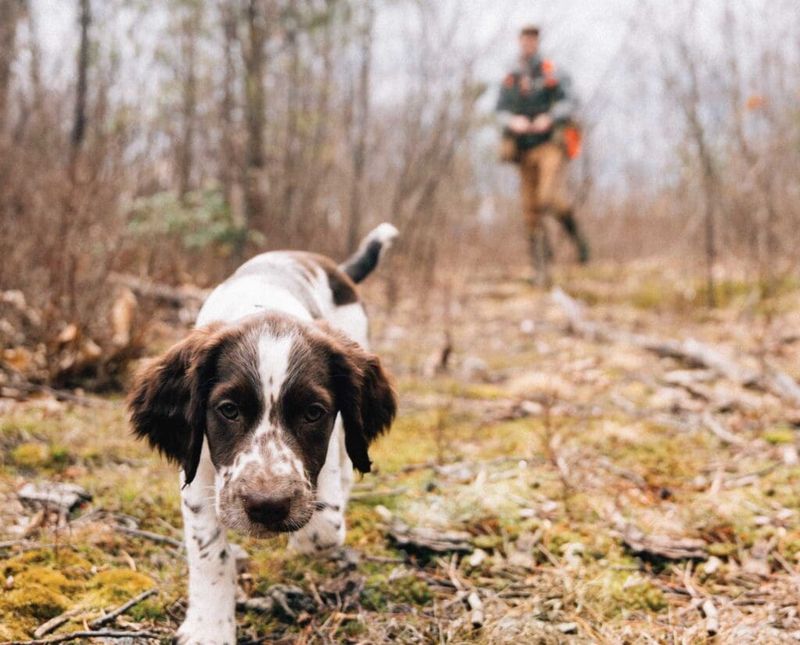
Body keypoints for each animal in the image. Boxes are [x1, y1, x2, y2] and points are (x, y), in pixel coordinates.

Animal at [128, 223, 400, 644]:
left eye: (313, 413)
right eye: (228, 409)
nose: (268, 507)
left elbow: (321, 529)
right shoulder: (198, 465)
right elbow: (210, 552)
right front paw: (209, 627)